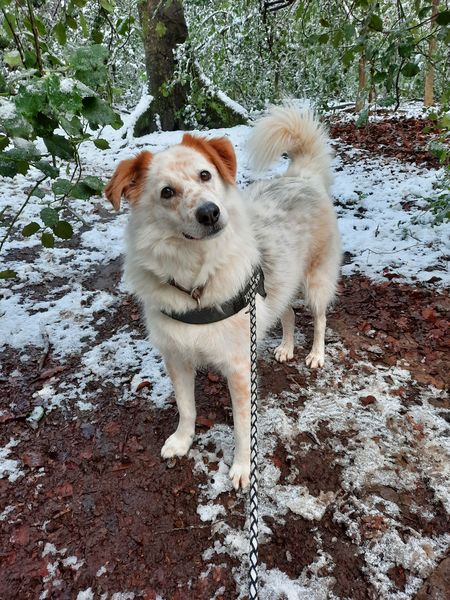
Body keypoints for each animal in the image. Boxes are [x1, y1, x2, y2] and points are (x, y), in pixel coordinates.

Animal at [105, 104, 341, 489]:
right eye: (166, 192)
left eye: (206, 175)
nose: (210, 212)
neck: (197, 282)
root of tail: (301, 177)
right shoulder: (177, 358)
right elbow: (186, 408)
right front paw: (182, 441)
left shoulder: (240, 369)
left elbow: (244, 427)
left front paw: (243, 467)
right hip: (280, 285)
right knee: (288, 314)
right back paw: (286, 347)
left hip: (315, 282)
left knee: (320, 319)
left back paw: (316, 354)